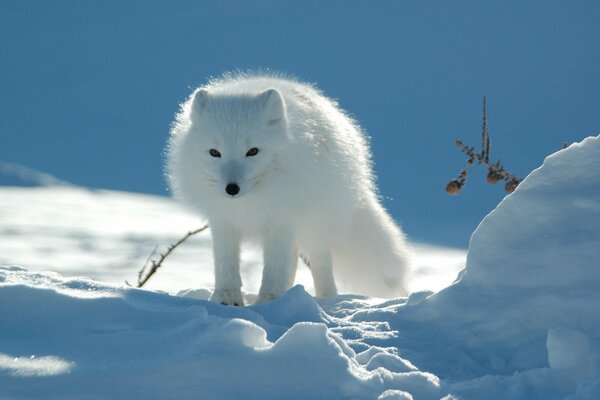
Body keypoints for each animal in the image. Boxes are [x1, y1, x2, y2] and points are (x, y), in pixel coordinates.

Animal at [166, 74, 410, 306]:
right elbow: (226, 264)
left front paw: (269, 301)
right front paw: (227, 298)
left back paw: (326, 299)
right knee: (292, 261)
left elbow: (274, 269)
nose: (231, 189)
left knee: (319, 262)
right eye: (214, 152)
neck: (250, 201)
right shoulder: (223, 221)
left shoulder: (281, 219)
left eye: (252, 151)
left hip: (316, 224)